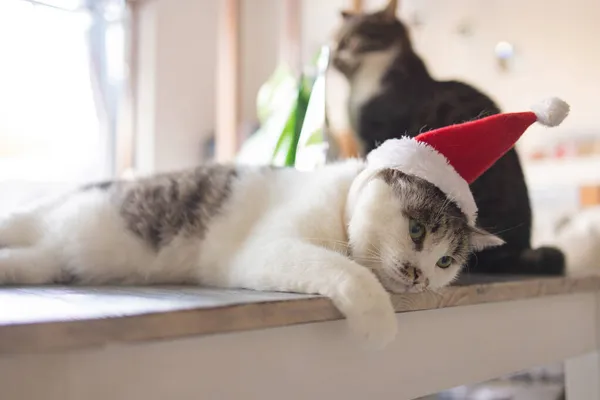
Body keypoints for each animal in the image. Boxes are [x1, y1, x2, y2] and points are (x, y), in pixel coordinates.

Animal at [0, 98, 568, 348]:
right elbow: (350, 273)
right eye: (416, 231)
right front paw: (379, 323)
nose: (422, 277)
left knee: (28, 259)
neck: (338, 208)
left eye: (447, 261)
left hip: (49, 260)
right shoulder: (270, 249)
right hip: (53, 222)